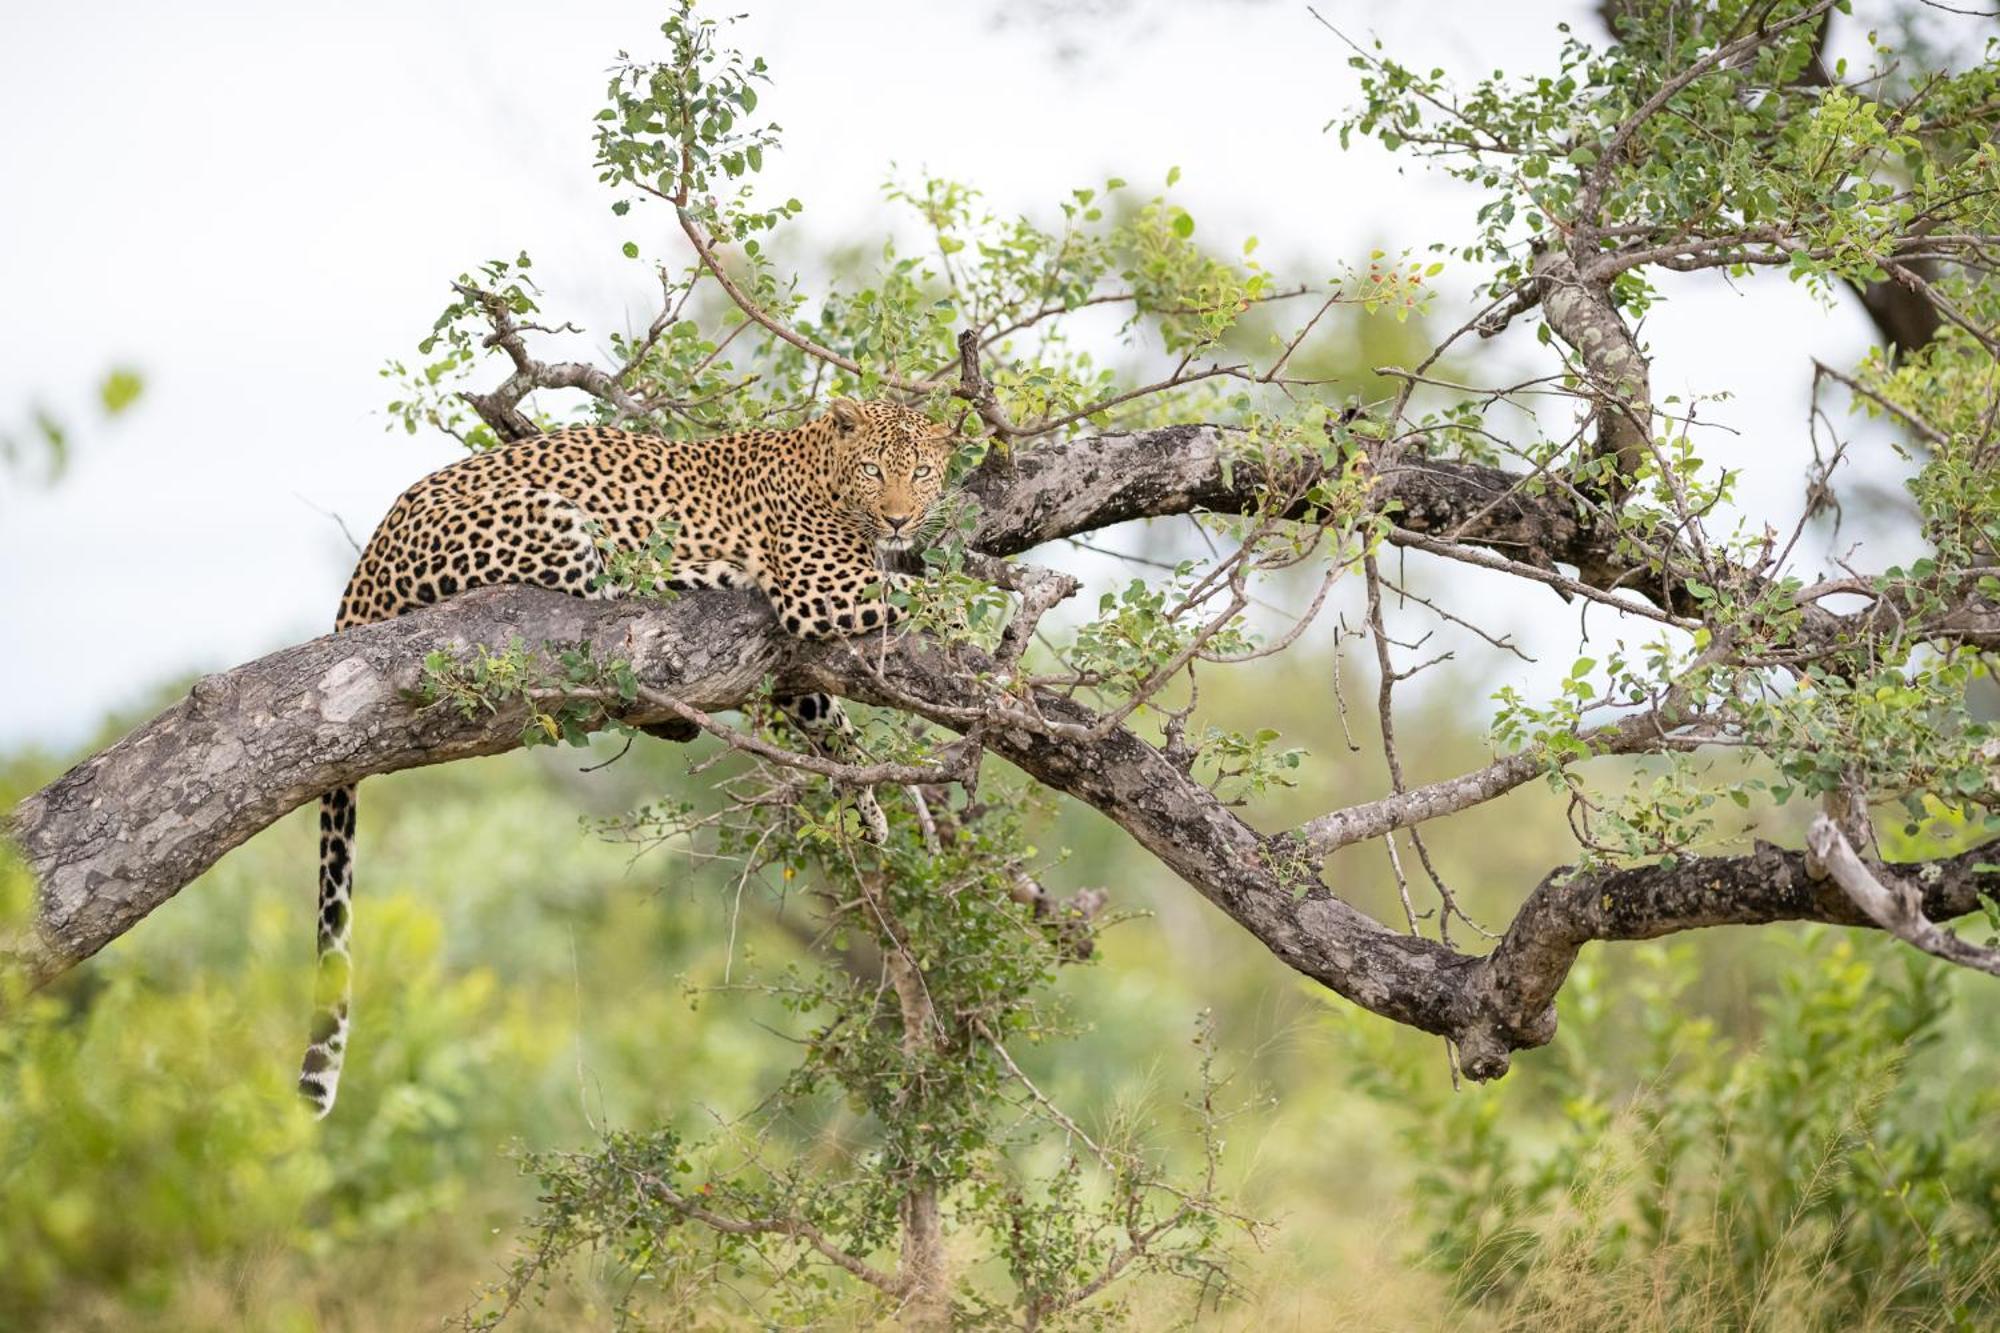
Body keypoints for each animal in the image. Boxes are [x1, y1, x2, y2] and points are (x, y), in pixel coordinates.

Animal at [302, 394, 960, 1112]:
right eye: (874, 470)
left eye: (921, 472)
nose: (898, 518)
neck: (825, 470)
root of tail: (366, 564)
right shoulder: (820, 589)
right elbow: (924, 595)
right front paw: (970, 618)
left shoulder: (795, 653)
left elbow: (826, 715)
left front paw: (867, 799)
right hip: (553, 523)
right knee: (606, 588)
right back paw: (673, 585)